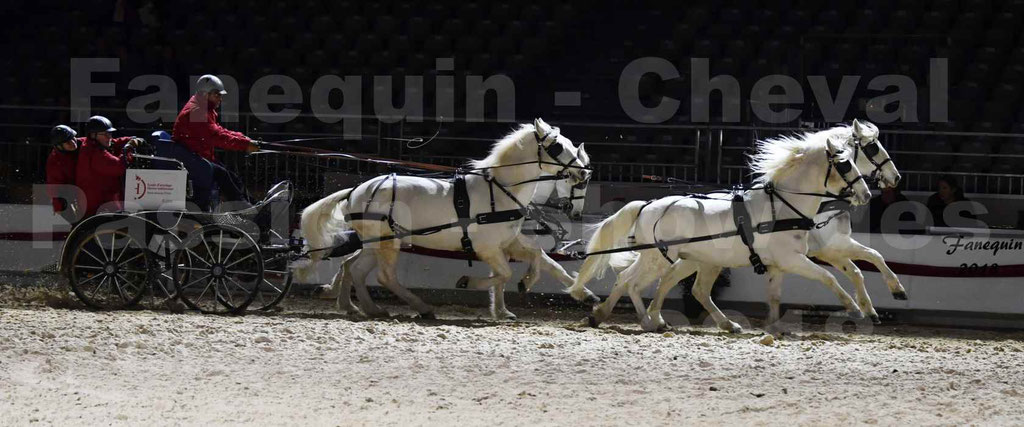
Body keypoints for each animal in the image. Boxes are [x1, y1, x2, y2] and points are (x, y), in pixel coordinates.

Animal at [299, 118, 593, 317]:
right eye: (557, 147)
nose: (584, 173)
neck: (500, 190)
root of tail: (357, 190)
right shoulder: (487, 247)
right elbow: (504, 273)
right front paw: (470, 283)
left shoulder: (508, 243)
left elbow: (544, 261)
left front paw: (580, 293)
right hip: (387, 242)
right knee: (382, 276)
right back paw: (417, 307)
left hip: (374, 243)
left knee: (353, 267)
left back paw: (357, 306)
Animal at [569, 133, 872, 331]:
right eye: (845, 164)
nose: (866, 194)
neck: (784, 206)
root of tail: (648, 205)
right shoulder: (792, 260)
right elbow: (828, 277)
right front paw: (855, 308)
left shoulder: (777, 265)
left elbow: (774, 296)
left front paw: (773, 326)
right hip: (659, 258)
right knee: (633, 283)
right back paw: (648, 321)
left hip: (692, 260)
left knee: (686, 288)